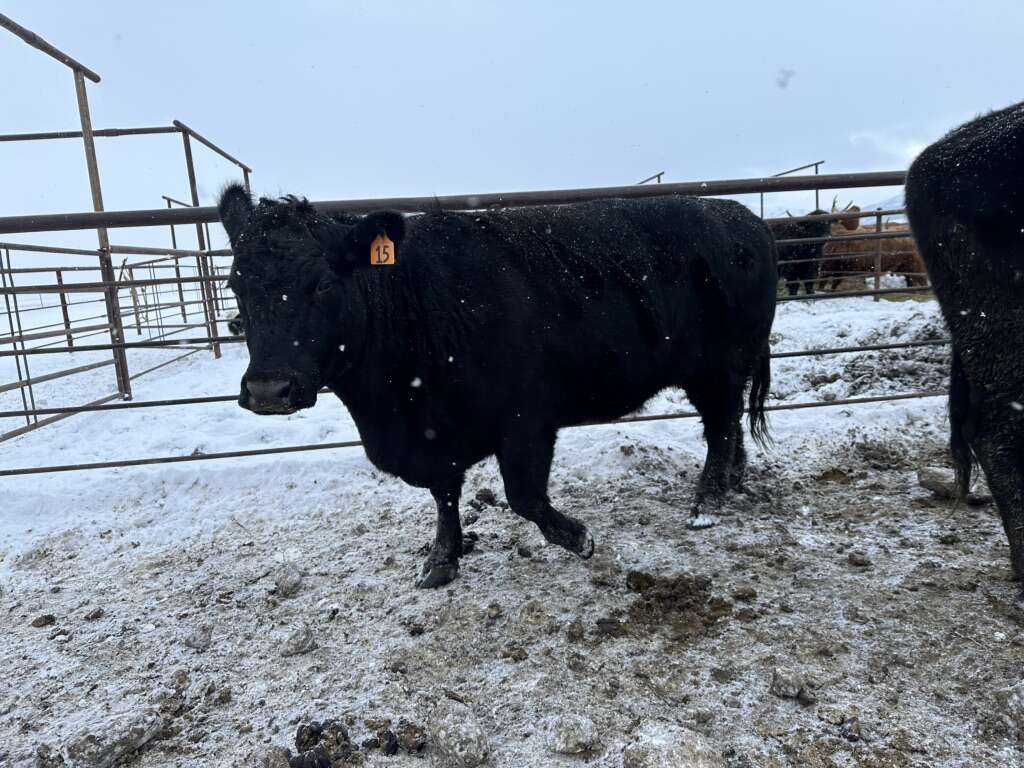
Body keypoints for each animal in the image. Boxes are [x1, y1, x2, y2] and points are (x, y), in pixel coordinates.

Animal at [218, 188, 774, 589]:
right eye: (235, 285)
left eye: (324, 283)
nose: (268, 389)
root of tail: (740, 215)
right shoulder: (434, 435)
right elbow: (444, 496)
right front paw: (441, 560)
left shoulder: (526, 421)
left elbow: (523, 497)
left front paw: (580, 537)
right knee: (725, 427)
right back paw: (731, 480)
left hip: (721, 366)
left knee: (720, 426)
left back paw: (706, 503)